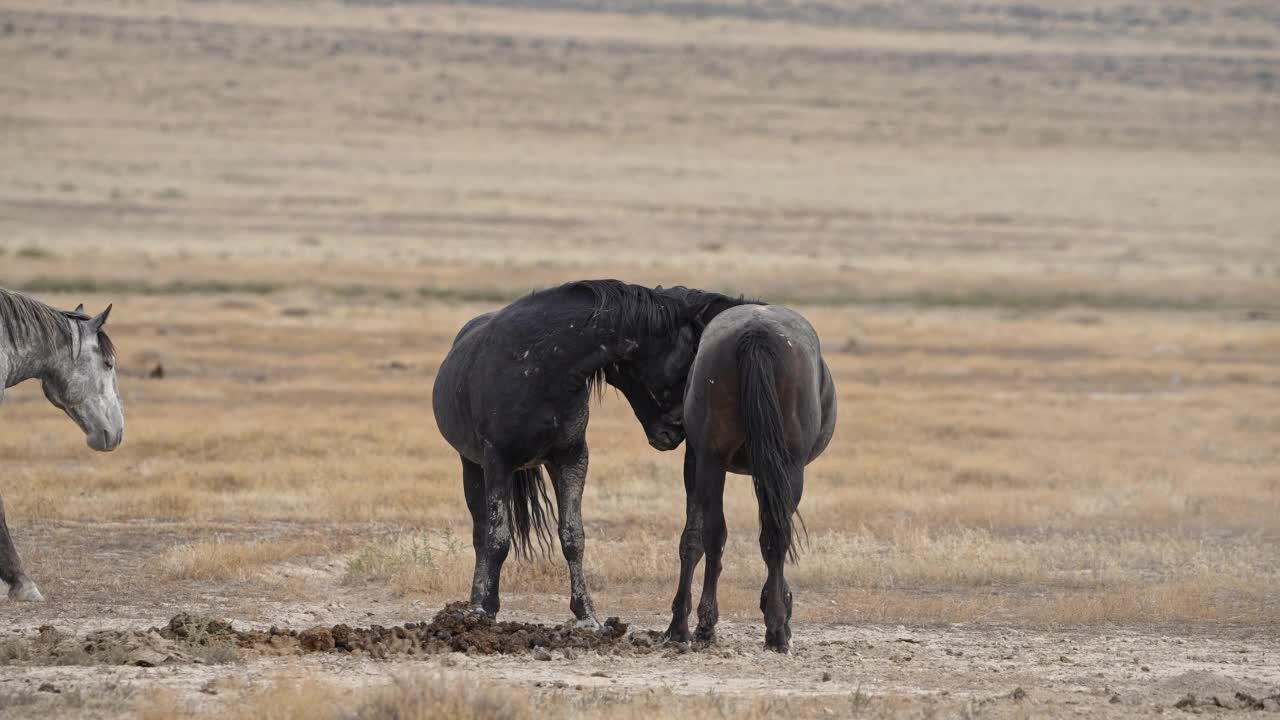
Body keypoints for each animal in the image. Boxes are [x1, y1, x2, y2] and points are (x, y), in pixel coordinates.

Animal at [435, 278, 747, 625]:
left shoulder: (571, 457)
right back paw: (474, 604)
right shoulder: (497, 462)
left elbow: (573, 536)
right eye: (691, 352)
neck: (539, 368)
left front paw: (586, 614)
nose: (677, 431)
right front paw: (486, 609)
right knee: (480, 533)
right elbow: (497, 539)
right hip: (471, 466)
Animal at [665, 302, 834, 650]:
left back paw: (709, 624)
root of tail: (757, 333)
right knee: (773, 534)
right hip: (780, 466)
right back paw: (772, 628)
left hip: (713, 462)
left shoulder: (700, 462)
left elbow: (693, 538)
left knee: (719, 533)